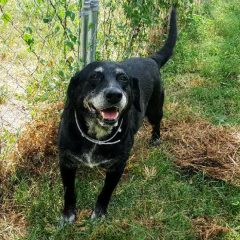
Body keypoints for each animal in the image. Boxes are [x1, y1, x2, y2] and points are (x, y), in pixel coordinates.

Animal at [58, 8, 176, 224]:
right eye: (95, 76)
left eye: (123, 79)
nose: (114, 94)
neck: (96, 135)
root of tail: (151, 59)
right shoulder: (66, 162)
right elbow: (69, 191)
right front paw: (68, 215)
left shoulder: (117, 166)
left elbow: (106, 191)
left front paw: (99, 213)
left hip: (155, 109)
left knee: (157, 123)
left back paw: (156, 138)